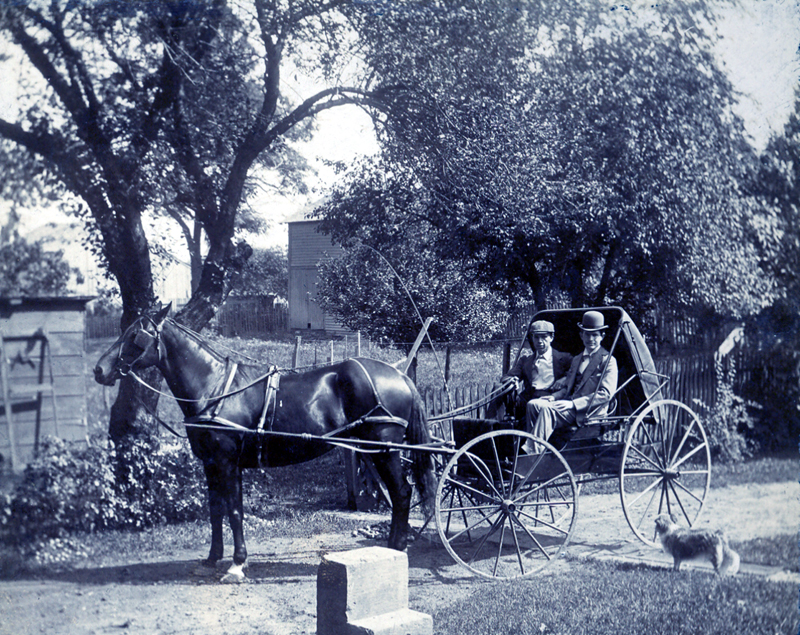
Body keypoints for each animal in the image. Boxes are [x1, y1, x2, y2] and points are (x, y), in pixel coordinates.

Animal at [94, 303, 436, 582]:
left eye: (135, 335)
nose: (99, 370)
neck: (214, 388)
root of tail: (399, 376)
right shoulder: (211, 463)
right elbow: (217, 510)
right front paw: (212, 559)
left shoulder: (226, 461)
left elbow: (233, 511)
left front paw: (236, 565)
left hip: (385, 450)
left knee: (402, 493)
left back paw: (395, 550)